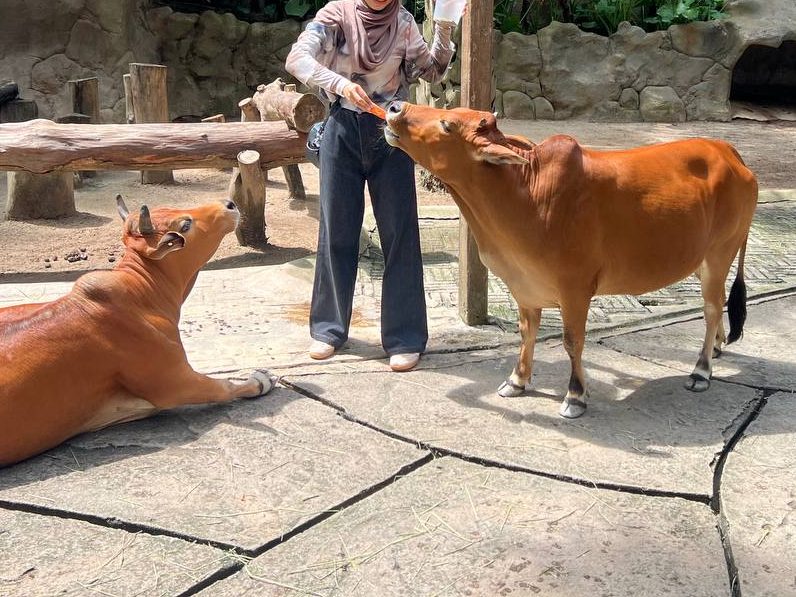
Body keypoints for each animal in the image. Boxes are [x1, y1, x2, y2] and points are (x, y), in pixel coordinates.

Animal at [0, 196, 277, 467]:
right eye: (185, 224)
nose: (229, 204)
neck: (141, 295)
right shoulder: (175, 381)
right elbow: (224, 387)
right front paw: (260, 380)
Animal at [384, 102, 758, 418]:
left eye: (447, 124)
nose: (394, 107)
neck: (529, 193)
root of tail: (728, 151)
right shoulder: (525, 287)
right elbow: (527, 333)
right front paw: (517, 380)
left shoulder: (575, 289)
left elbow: (572, 341)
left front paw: (575, 395)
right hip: (699, 259)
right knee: (718, 305)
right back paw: (718, 348)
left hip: (720, 253)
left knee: (712, 308)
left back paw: (701, 370)